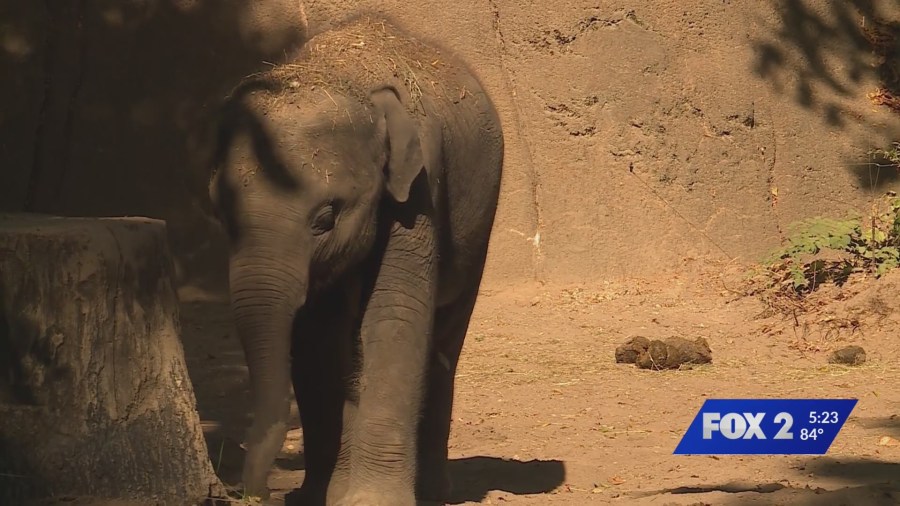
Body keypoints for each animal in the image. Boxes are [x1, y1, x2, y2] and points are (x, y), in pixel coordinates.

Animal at [207, 13, 504, 506]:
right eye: (221, 213)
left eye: (327, 217)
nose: (256, 493)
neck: (343, 76)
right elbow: (315, 336)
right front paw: (319, 495)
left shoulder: (417, 188)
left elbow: (393, 317)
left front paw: (371, 499)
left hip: (480, 222)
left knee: (444, 340)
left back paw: (434, 492)